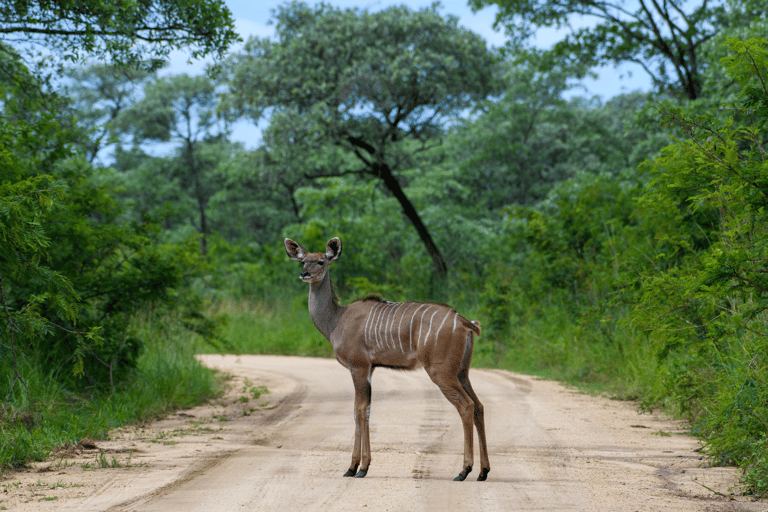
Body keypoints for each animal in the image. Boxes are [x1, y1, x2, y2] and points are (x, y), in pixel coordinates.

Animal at [284, 236, 488, 480]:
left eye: (321, 261)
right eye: (303, 260)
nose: (304, 273)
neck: (336, 320)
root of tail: (466, 323)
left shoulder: (359, 367)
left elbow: (360, 410)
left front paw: (358, 468)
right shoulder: (370, 368)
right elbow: (364, 410)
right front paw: (357, 467)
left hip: (442, 372)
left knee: (466, 406)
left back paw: (464, 470)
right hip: (462, 372)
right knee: (479, 406)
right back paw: (483, 471)